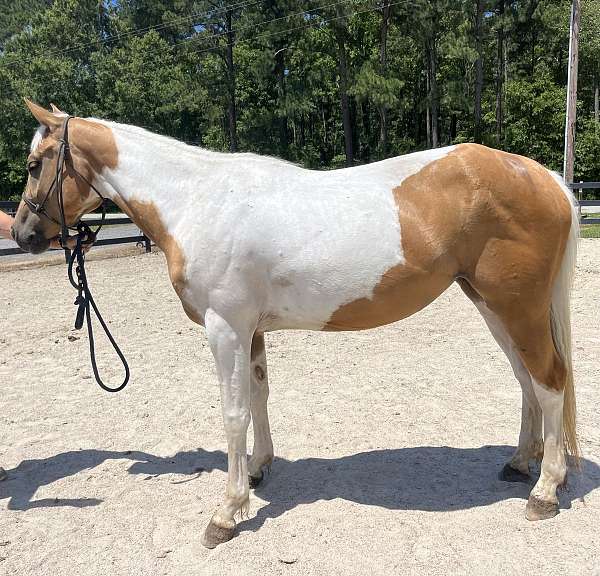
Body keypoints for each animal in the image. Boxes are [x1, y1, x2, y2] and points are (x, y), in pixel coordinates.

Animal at [10, 101, 580, 548]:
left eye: (36, 164)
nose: (21, 233)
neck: (197, 201)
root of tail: (545, 178)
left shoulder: (225, 328)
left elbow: (234, 413)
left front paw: (226, 513)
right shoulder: (251, 331)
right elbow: (260, 397)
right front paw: (260, 469)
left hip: (517, 307)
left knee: (550, 381)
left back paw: (545, 490)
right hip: (492, 305)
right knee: (527, 380)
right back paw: (520, 464)